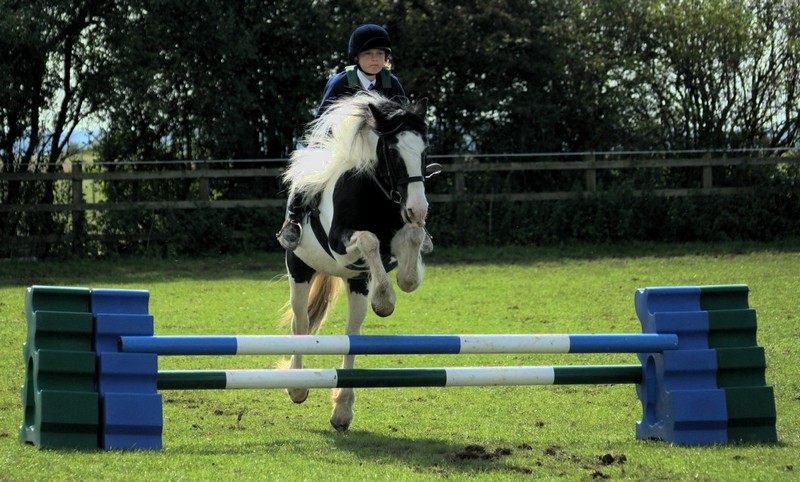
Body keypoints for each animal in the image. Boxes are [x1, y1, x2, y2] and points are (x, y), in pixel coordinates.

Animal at [280, 92, 432, 432]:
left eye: (424, 149)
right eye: (393, 150)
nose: (418, 209)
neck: (375, 192)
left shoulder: (396, 237)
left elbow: (412, 244)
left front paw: (401, 281)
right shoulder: (339, 242)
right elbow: (368, 239)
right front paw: (385, 299)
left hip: (355, 283)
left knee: (352, 334)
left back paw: (342, 410)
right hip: (299, 269)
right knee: (301, 322)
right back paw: (297, 388)